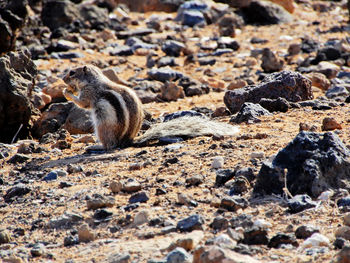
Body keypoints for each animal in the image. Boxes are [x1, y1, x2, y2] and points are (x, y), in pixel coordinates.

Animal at [63, 64, 239, 152]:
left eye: (71, 72)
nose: (62, 79)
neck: (93, 80)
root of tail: (127, 141)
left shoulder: (89, 94)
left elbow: (83, 103)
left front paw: (67, 92)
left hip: (102, 127)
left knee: (109, 145)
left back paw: (96, 146)